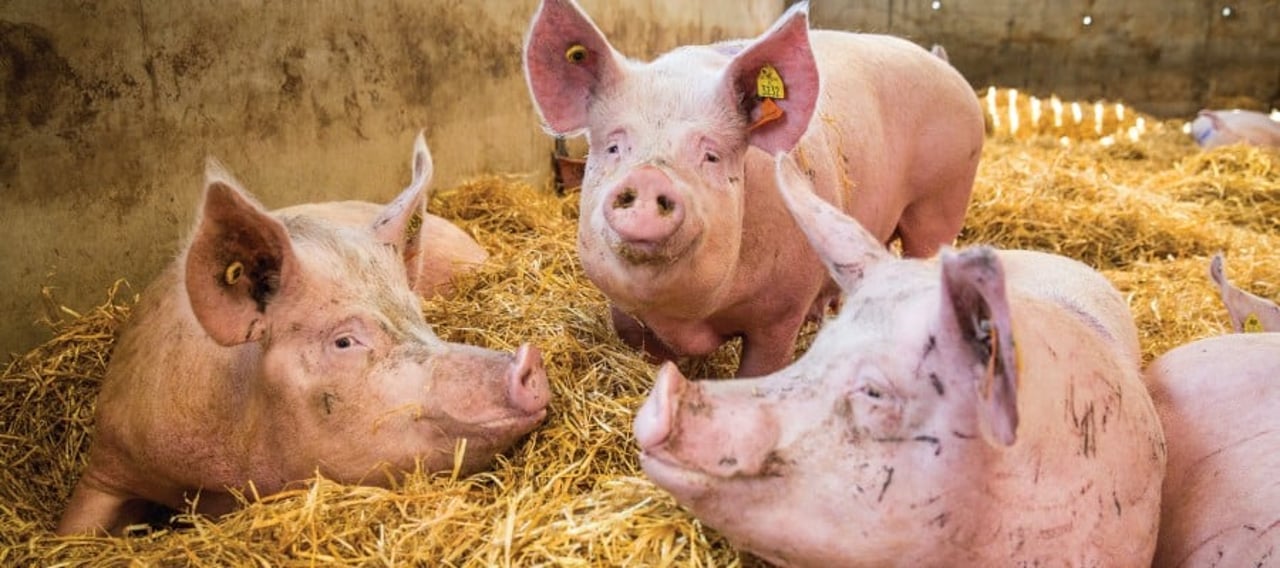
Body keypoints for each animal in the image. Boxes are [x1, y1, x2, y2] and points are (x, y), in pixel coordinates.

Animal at [519, 0, 977, 376]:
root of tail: (946, 67)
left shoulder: (781, 312)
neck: (690, 318)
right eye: (614, 147)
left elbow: (762, 367)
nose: (650, 176)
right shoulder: (625, 311)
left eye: (712, 155)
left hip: (941, 200)